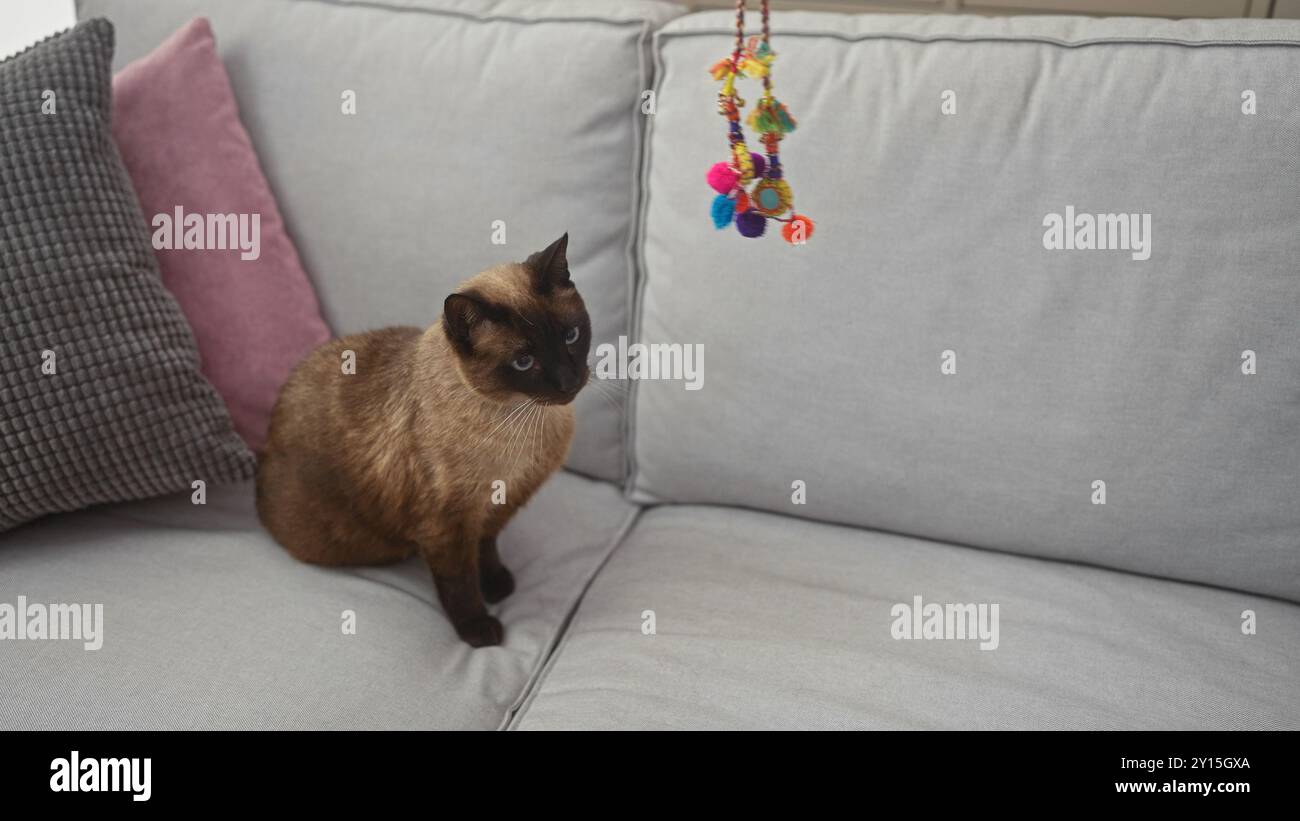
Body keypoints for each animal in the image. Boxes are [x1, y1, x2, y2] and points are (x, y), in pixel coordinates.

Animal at [256, 233, 592, 644]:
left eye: (571, 336)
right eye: (524, 362)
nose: (568, 382)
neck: (519, 419)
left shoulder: (501, 504)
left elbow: (486, 549)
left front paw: (496, 585)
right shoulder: (447, 524)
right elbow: (460, 580)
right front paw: (479, 629)